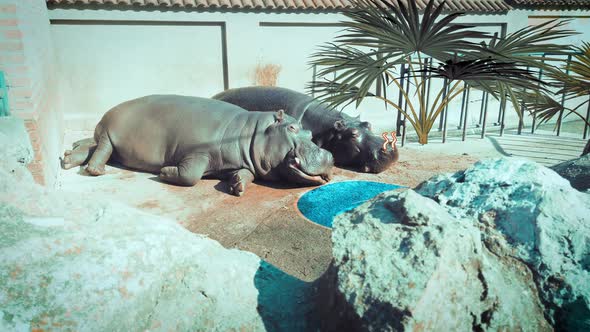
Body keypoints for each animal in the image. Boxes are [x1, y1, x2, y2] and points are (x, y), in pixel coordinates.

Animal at [63, 94, 338, 196]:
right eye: (292, 128)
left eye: (310, 132)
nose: (329, 155)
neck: (251, 133)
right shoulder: (197, 152)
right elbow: (190, 175)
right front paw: (164, 171)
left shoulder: (239, 162)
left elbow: (245, 173)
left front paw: (237, 186)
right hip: (111, 132)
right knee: (102, 148)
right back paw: (94, 171)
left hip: (109, 141)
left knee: (90, 145)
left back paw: (67, 157)